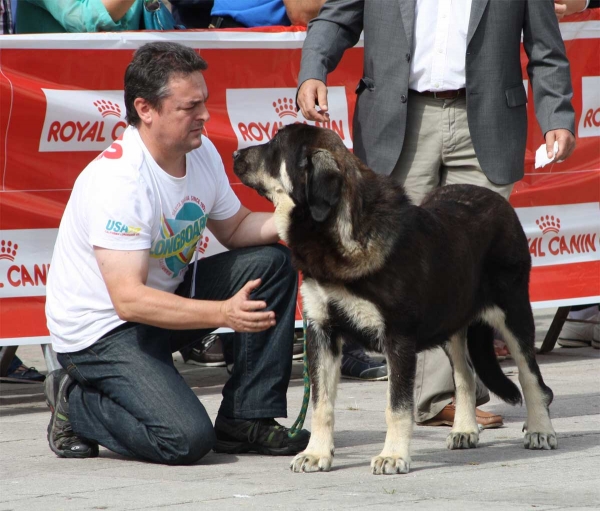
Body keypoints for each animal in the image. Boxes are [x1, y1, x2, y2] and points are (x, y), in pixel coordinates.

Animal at [232, 124, 556, 476]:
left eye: (276, 145)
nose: (234, 154)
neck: (340, 233)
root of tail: (498, 201)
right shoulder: (322, 333)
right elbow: (321, 403)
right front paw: (316, 453)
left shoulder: (398, 338)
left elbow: (397, 406)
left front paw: (393, 455)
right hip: (451, 322)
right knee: (465, 375)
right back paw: (465, 429)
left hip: (513, 312)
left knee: (531, 376)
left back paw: (540, 430)